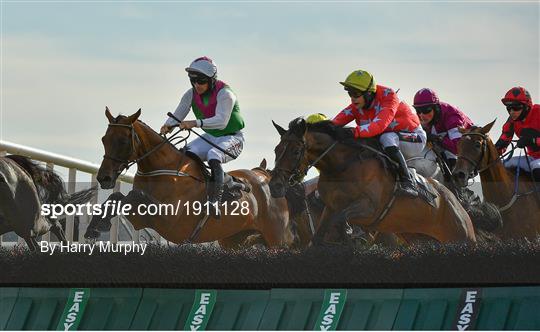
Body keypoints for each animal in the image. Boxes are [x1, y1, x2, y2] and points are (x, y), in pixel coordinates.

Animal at [85, 107, 296, 248]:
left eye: (122, 141)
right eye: (104, 139)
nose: (104, 178)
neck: (160, 169)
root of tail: (265, 176)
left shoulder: (168, 219)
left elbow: (132, 197)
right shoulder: (143, 218)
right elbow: (118, 197)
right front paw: (95, 225)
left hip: (277, 239)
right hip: (234, 240)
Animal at [268, 118, 474, 245]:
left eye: (296, 151)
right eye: (276, 150)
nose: (275, 185)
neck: (343, 167)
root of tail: (455, 202)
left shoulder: (370, 208)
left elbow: (342, 220)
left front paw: (352, 235)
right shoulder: (330, 208)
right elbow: (318, 238)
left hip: (459, 236)